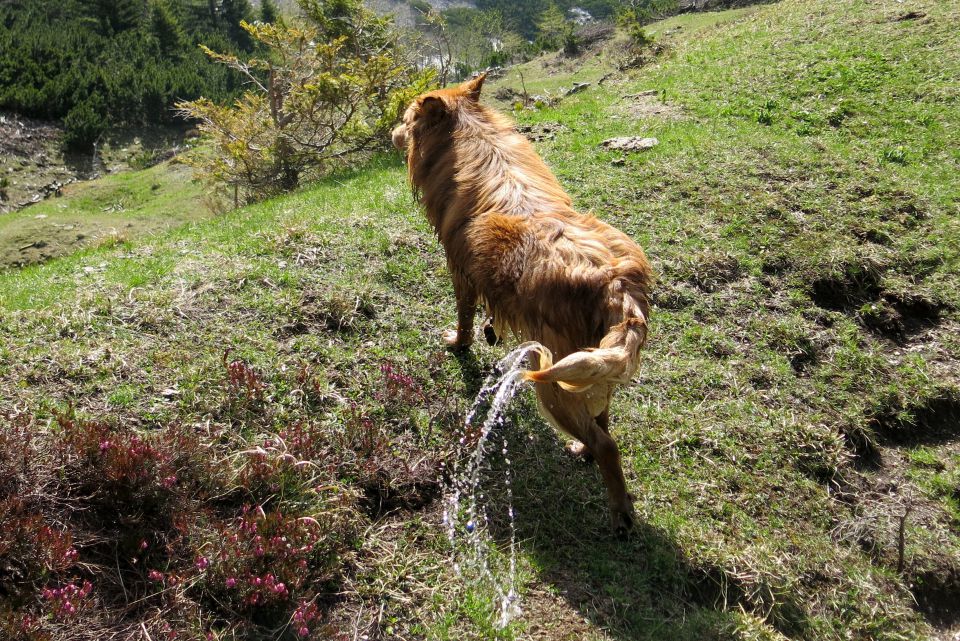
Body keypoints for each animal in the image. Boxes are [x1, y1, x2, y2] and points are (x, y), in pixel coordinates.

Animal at [390, 75, 652, 532]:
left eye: (406, 118)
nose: (391, 129)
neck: (472, 135)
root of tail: (615, 282)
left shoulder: (460, 271)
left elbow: (463, 316)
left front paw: (459, 343)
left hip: (551, 381)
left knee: (606, 444)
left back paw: (619, 511)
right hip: (586, 366)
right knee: (601, 420)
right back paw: (585, 454)